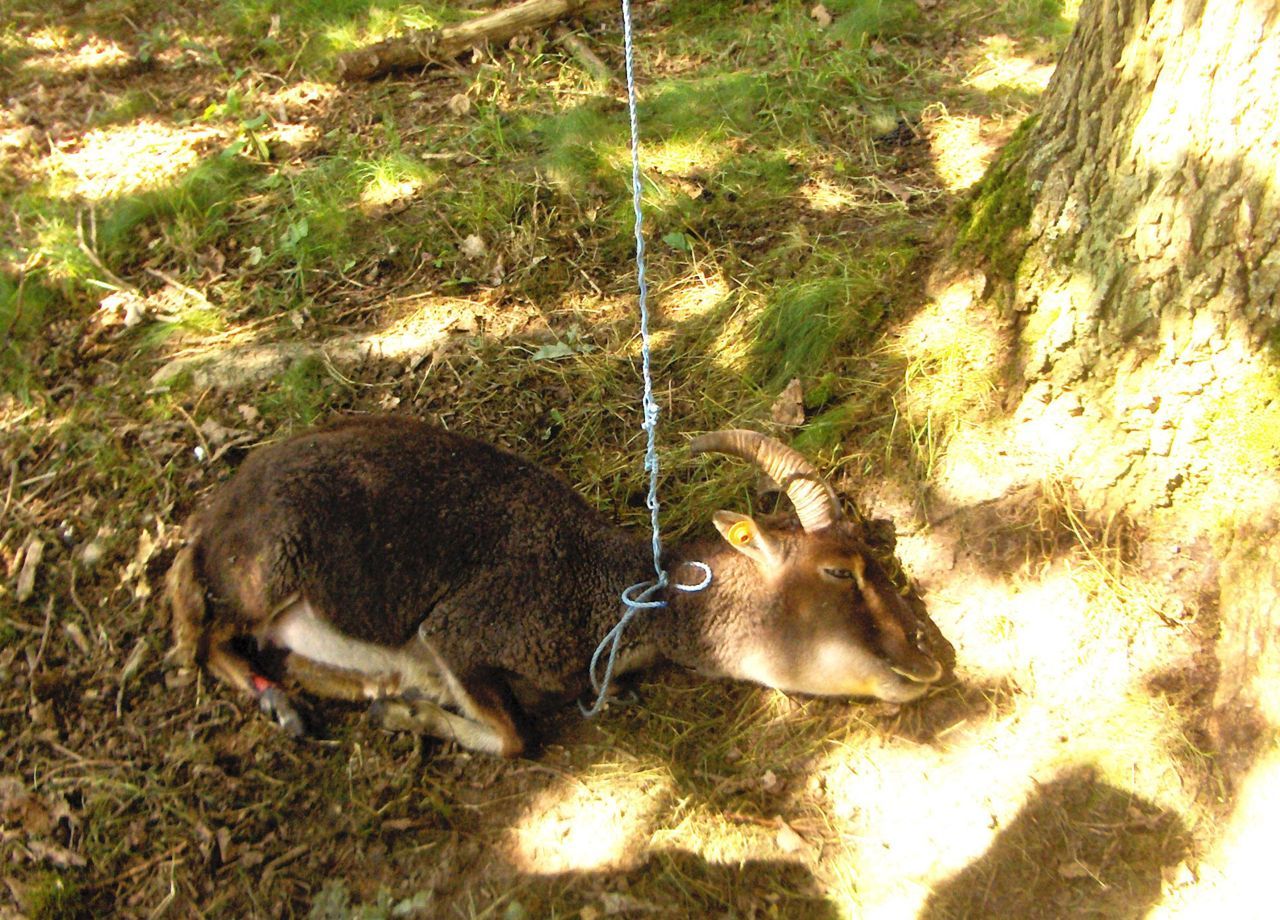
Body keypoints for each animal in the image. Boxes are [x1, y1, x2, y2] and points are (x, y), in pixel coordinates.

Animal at [167, 417, 952, 757]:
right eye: (838, 570)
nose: (927, 662)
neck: (610, 598)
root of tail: (219, 510)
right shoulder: (459, 631)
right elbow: (517, 738)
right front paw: (410, 715)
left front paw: (400, 703)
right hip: (263, 569)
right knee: (196, 620)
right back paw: (283, 705)